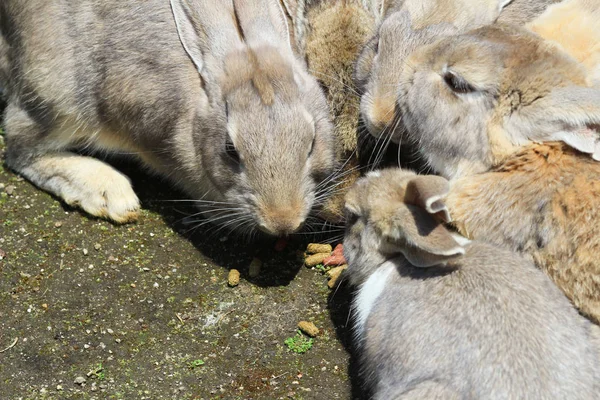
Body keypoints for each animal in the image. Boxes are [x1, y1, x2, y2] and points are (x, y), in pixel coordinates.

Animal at [0, 0, 336, 236]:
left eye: (311, 143)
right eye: (231, 150)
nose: (283, 221)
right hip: (56, 99)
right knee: (20, 149)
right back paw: (109, 193)